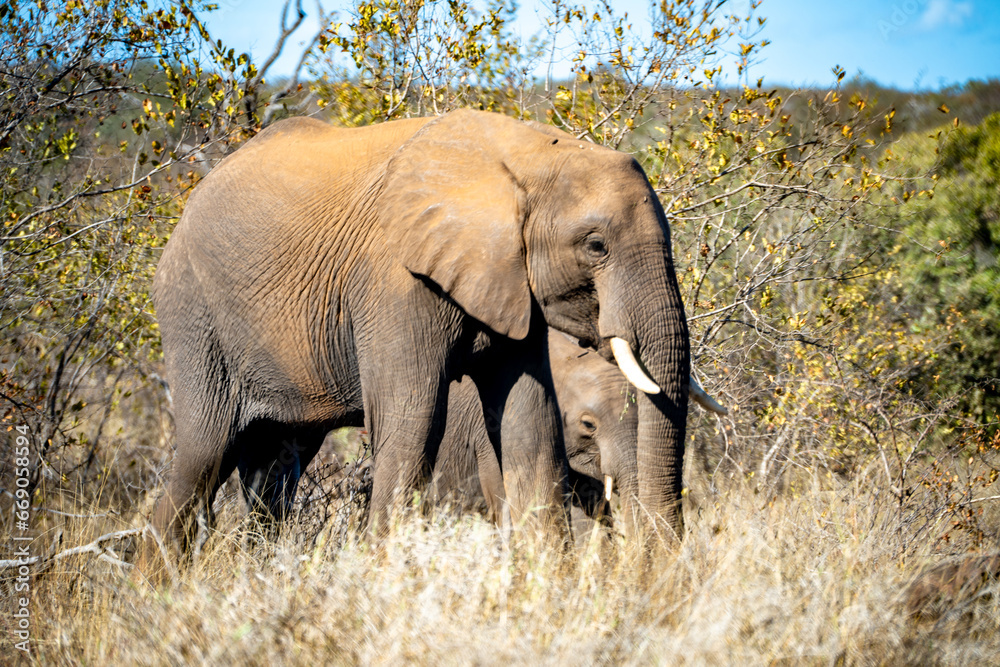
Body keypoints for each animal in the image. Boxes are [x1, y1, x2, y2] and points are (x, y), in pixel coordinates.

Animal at [152, 109, 696, 552]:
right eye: (596, 245)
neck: (530, 153)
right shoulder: (394, 280)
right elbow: (413, 421)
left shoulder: (509, 283)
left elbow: (529, 425)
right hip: (193, 313)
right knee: (202, 457)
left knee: (274, 473)